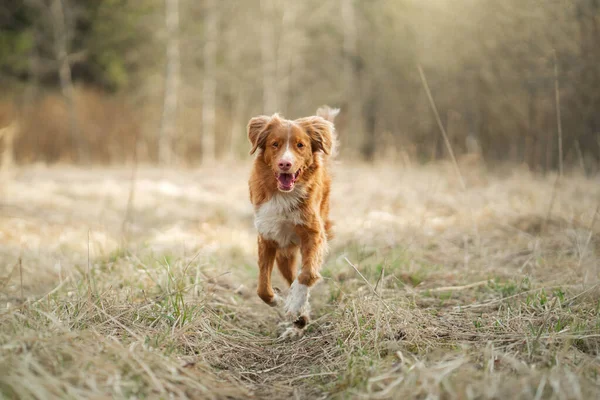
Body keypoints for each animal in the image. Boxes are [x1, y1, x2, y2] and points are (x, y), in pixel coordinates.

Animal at [247, 104, 340, 330]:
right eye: (275, 144)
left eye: (300, 145)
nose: (285, 164)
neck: (284, 195)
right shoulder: (268, 237)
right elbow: (262, 287)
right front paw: (278, 300)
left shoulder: (314, 233)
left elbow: (307, 274)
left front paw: (295, 304)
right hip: (285, 253)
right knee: (290, 277)